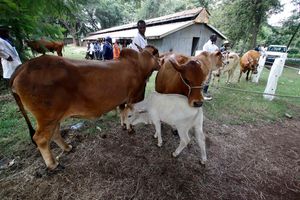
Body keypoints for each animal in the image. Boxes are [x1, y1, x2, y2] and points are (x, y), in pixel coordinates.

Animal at [9, 45, 161, 170]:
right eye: (157, 54)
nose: (161, 63)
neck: (139, 64)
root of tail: (24, 66)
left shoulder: (122, 100)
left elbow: (122, 113)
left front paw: (124, 126)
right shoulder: (133, 97)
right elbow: (128, 114)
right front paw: (130, 129)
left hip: (54, 117)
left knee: (55, 133)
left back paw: (67, 147)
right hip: (47, 117)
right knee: (41, 138)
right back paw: (53, 164)